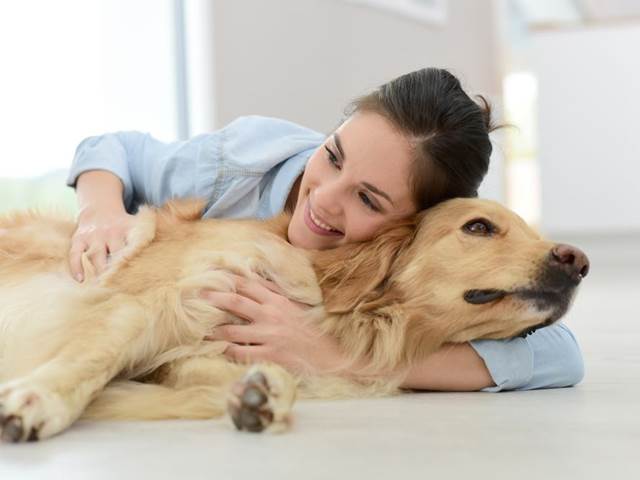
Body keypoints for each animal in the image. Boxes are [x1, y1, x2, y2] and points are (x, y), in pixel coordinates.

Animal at [0, 197, 588, 440]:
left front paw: (255, 394)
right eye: (479, 227)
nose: (579, 261)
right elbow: (93, 357)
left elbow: (268, 373)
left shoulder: (191, 352)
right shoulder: (140, 307)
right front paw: (36, 402)